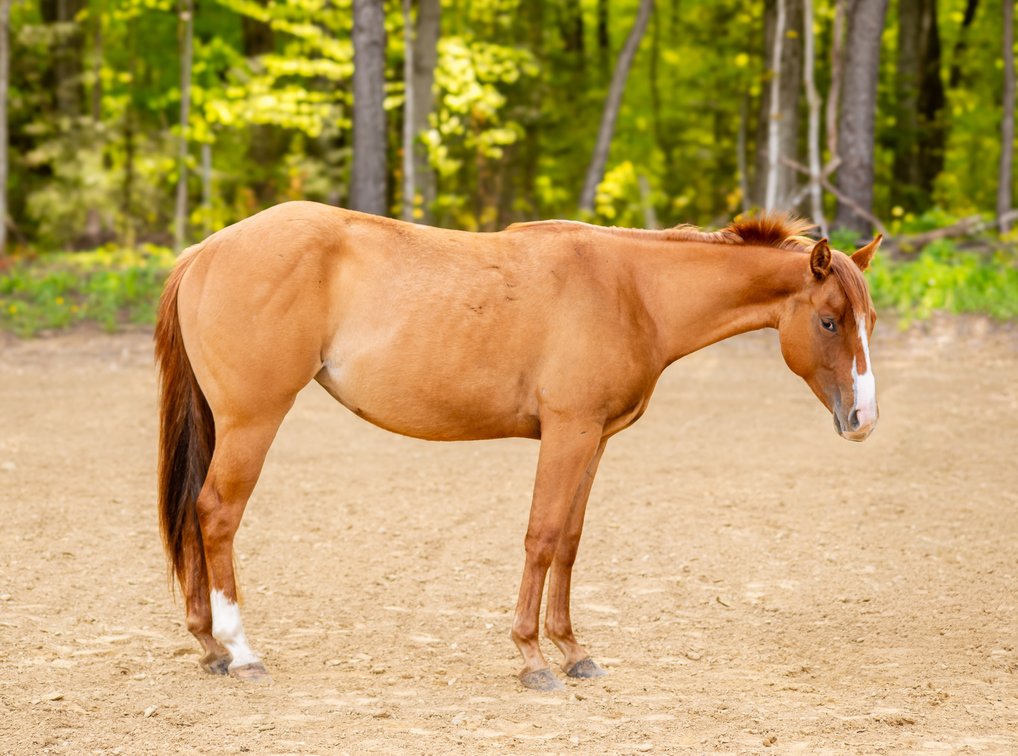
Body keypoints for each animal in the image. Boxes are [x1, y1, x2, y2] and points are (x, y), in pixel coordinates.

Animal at [155, 202, 880, 690]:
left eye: (868, 319)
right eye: (828, 321)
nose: (863, 420)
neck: (632, 290)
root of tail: (205, 250)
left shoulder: (593, 440)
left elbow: (570, 542)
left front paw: (573, 651)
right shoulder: (567, 432)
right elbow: (541, 535)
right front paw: (532, 658)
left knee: (194, 515)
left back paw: (210, 648)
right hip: (252, 422)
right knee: (217, 515)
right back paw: (241, 652)